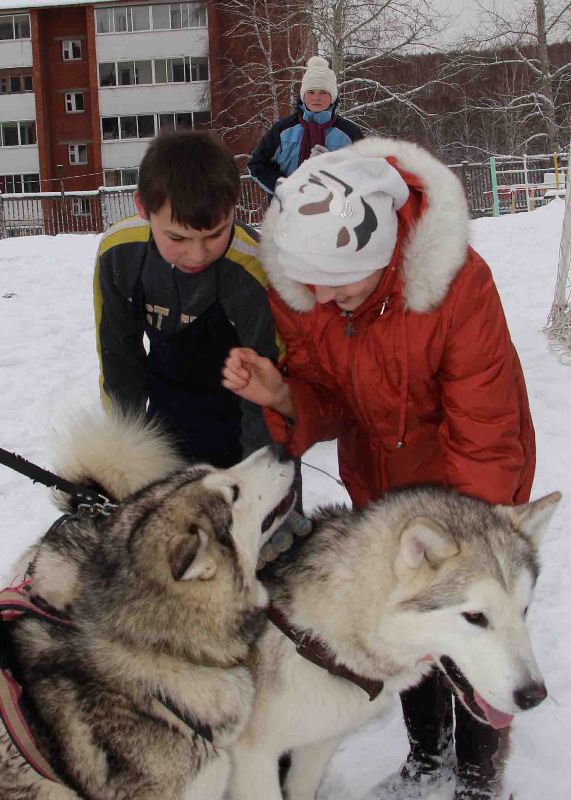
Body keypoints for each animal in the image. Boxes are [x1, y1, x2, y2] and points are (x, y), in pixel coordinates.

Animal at [230, 484, 560, 796]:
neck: (314, 637)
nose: (534, 695)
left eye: (524, 609)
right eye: (475, 617)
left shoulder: (318, 745)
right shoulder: (252, 760)